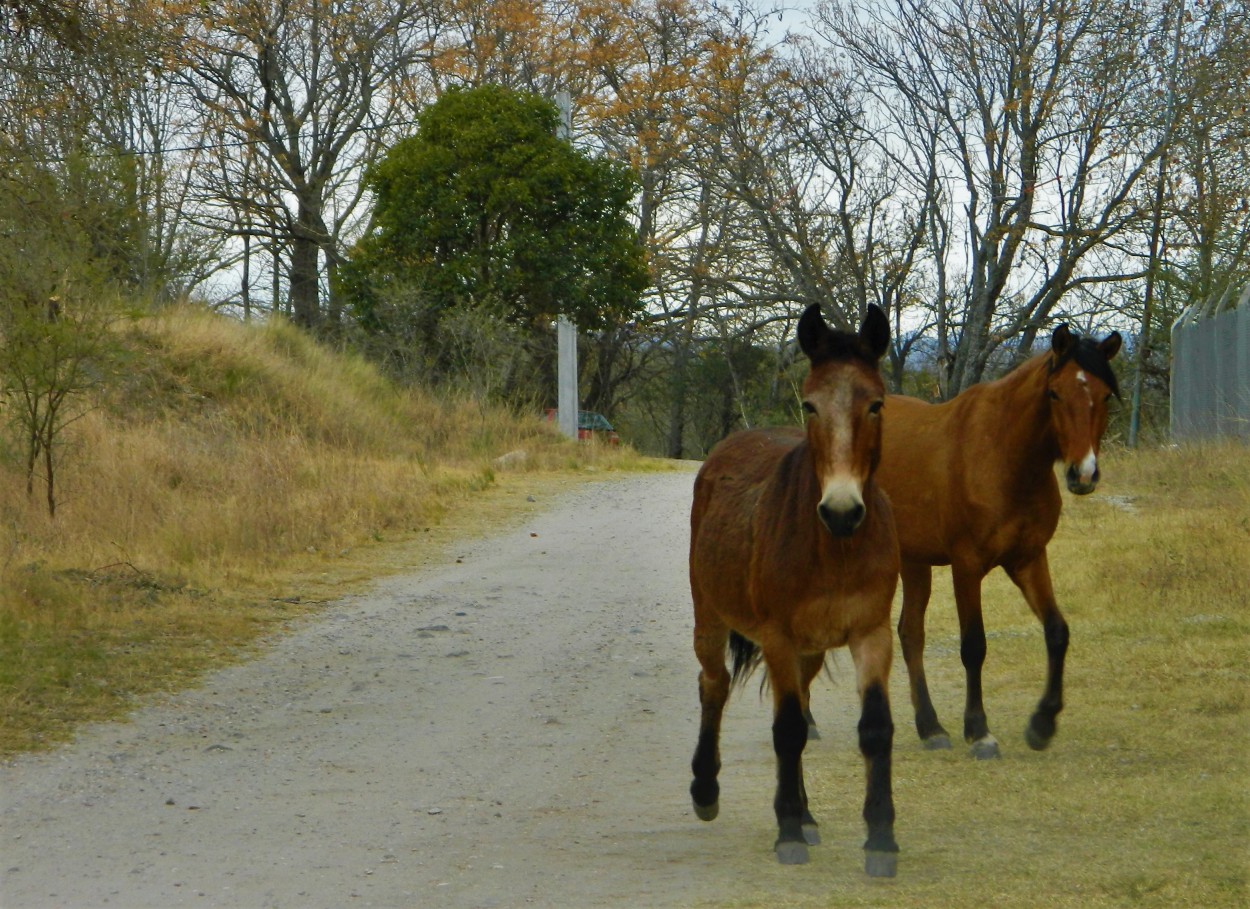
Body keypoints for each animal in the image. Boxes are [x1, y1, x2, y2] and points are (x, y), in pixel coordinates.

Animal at [690, 303, 905, 875]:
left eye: (876, 404)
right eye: (810, 404)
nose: (842, 510)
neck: (834, 548)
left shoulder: (872, 634)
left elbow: (874, 727)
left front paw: (880, 837)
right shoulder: (778, 638)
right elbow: (786, 730)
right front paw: (786, 831)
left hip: (812, 649)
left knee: (800, 702)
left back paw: (807, 816)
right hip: (710, 617)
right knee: (714, 685)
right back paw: (705, 790)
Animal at [875, 322, 1130, 755]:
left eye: (1105, 394)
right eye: (1054, 392)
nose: (1083, 473)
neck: (1003, 455)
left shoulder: (1029, 559)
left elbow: (1057, 631)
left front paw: (1042, 723)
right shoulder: (966, 566)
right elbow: (974, 646)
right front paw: (979, 731)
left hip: (913, 561)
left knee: (910, 634)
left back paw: (931, 727)